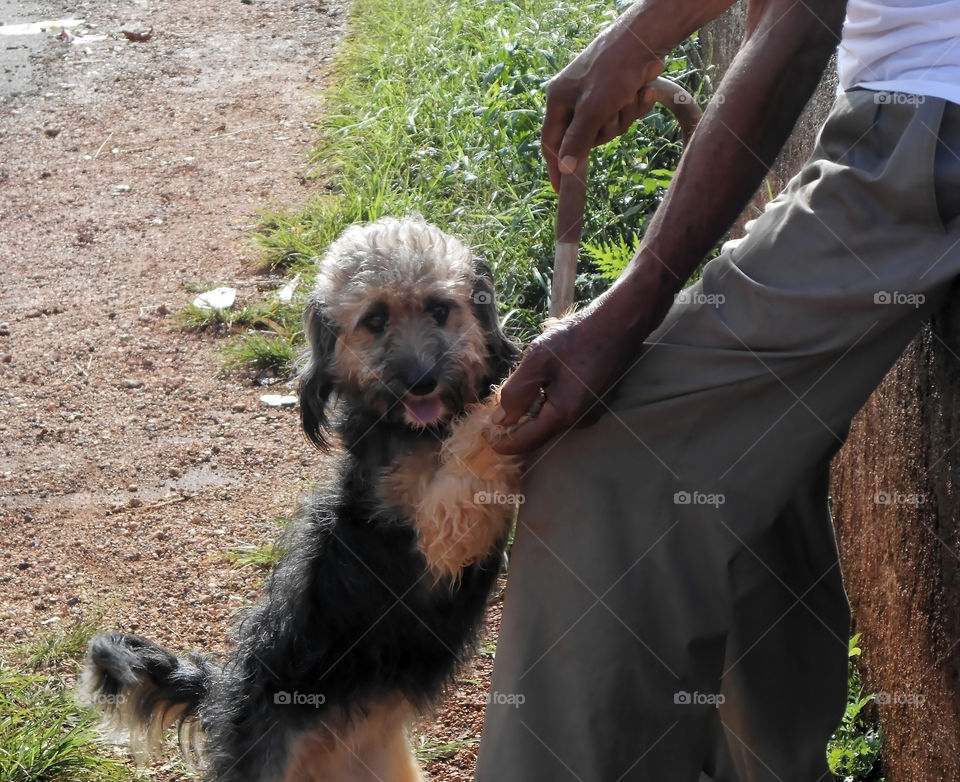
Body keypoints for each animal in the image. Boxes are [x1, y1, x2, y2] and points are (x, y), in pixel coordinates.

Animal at [80, 216, 524, 782]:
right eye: (375, 320)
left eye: (440, 308)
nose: (422, 380)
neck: (413, 431)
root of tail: (222, 692)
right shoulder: (442, 530)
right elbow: (483, 430)